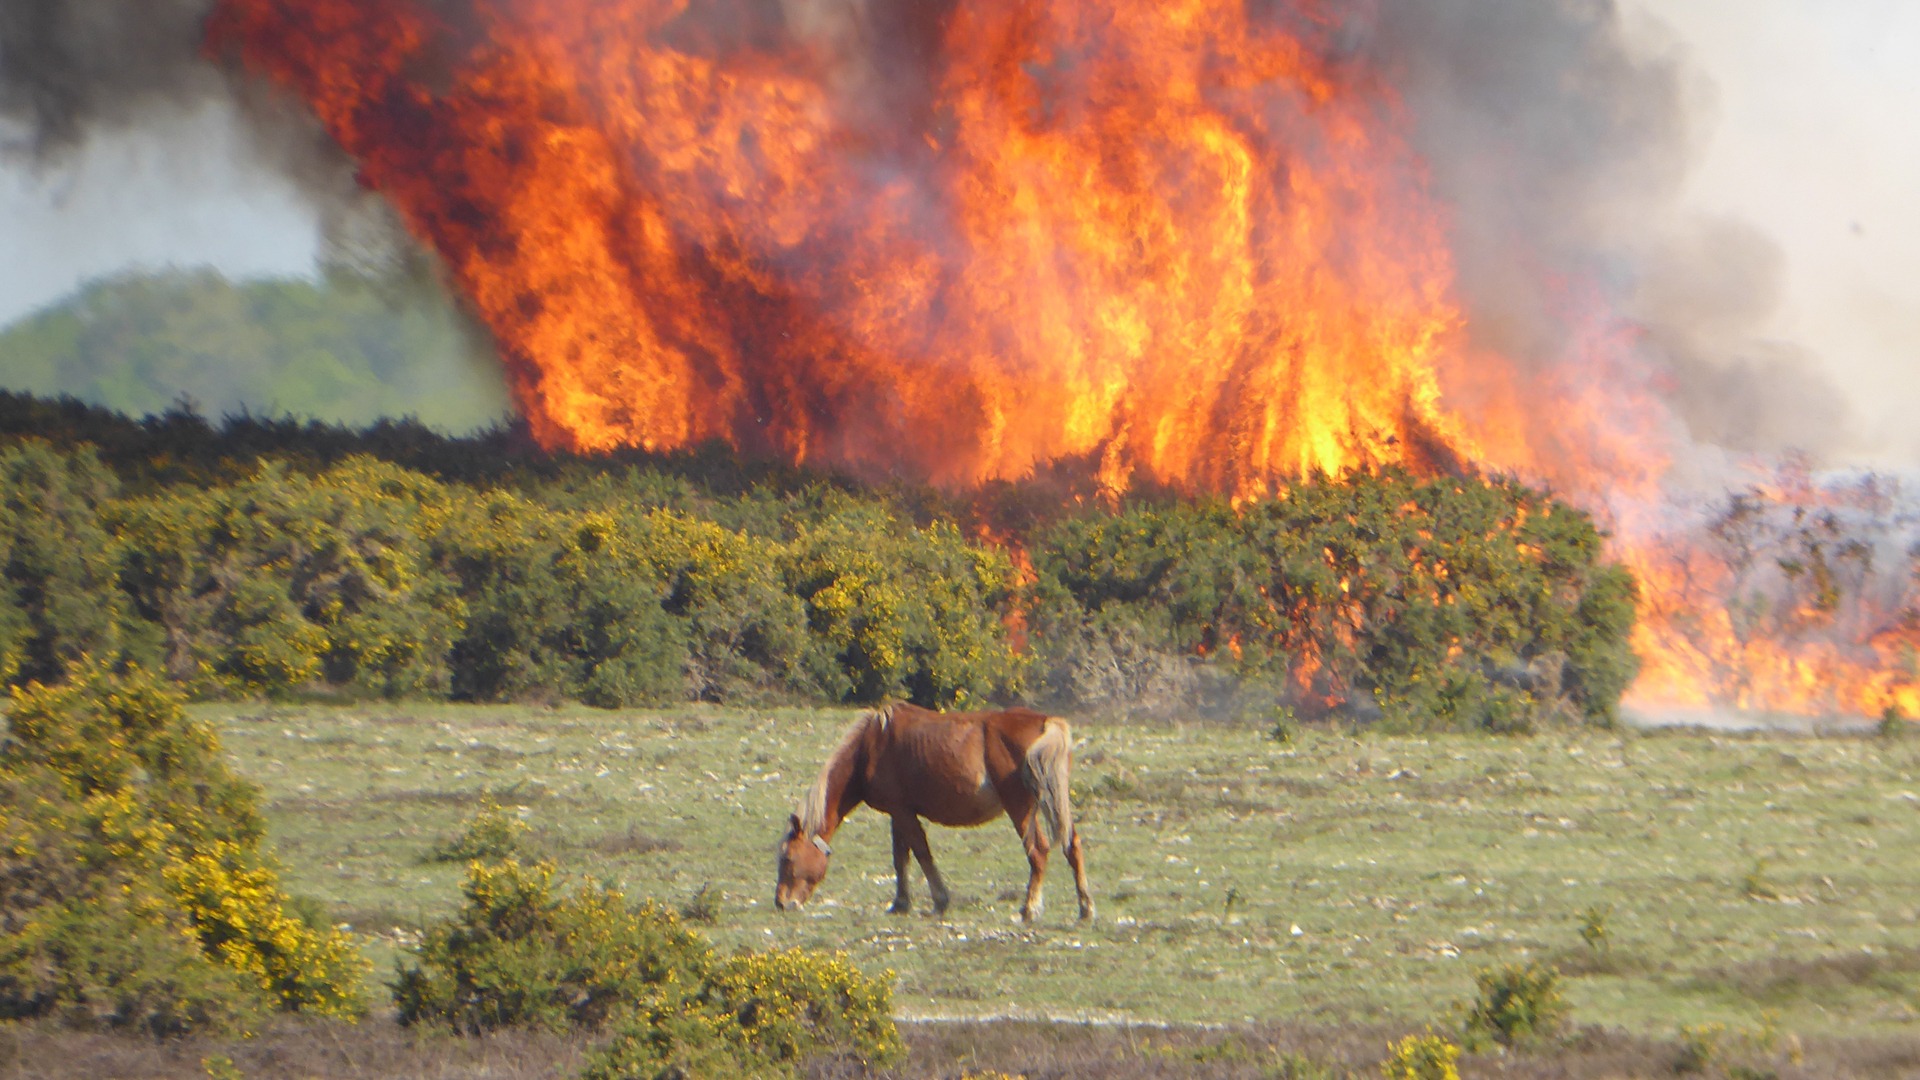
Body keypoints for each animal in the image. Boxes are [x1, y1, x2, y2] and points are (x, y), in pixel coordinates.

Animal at [774, 703, 1093, 924]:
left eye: (787, 858)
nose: (781, 903)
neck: (871, 745)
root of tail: (1046, 722)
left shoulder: (903, 813)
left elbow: (920, 853)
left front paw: (940, 900)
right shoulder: (898, 814)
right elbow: (900, 858)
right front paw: (900, 903)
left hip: (1022, 809)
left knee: (1038, 851)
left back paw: (1029, 909)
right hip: (1051, 802)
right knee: (1071, 845)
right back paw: (1085, 908)